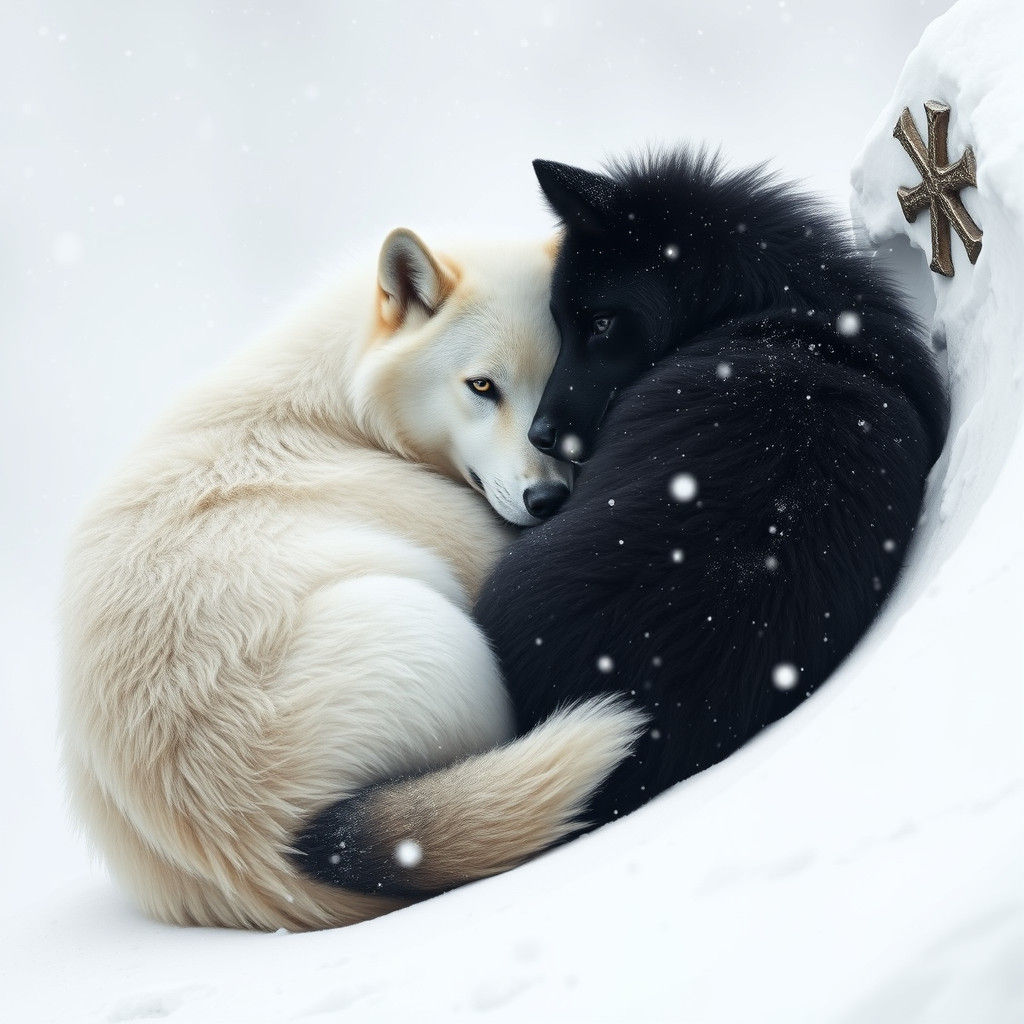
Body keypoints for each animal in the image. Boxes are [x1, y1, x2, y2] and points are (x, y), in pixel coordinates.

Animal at [61, 228, 643, 930]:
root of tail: (251, 839)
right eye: (481, 385)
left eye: (570, 382)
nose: (548, 499)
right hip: (427, 627)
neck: (336, 409)